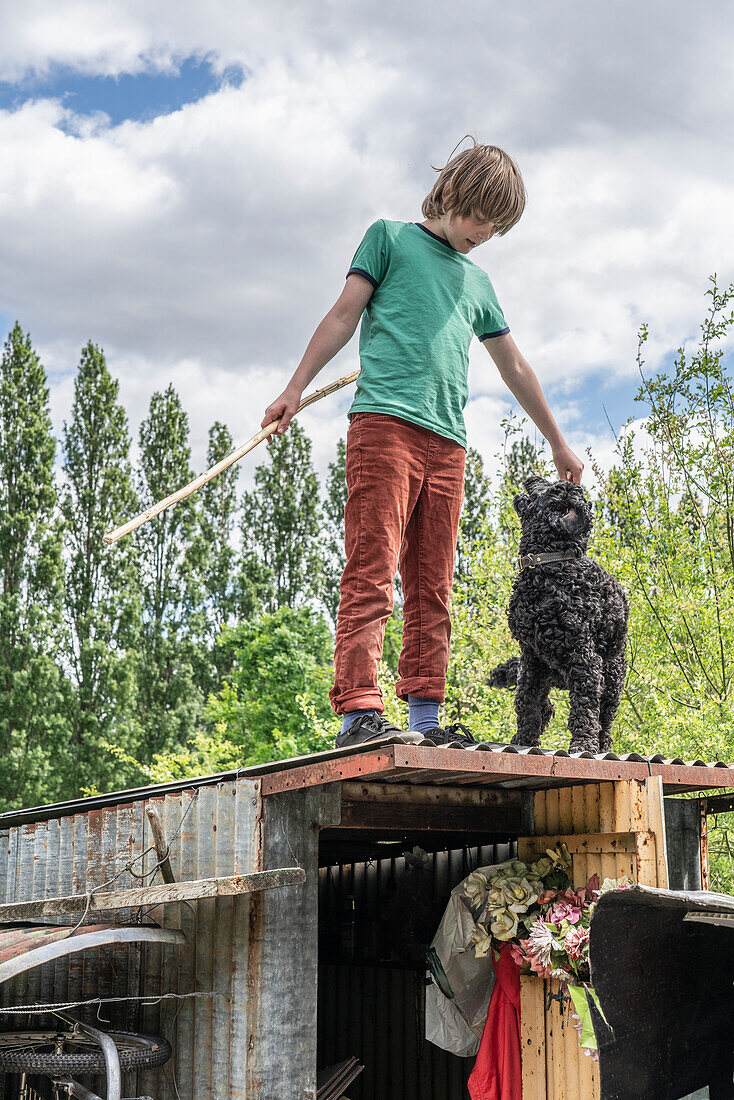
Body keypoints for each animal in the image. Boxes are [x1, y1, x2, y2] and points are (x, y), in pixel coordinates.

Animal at [490, 473, 629, 756]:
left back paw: (601, 743)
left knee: (605, 719)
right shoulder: (532, 658)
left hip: (612, 678)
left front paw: (583, 743)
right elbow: (527, 700)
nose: (532, 477)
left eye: (551, 487)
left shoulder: (584, 659)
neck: (551, 563)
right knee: (545, 704)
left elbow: (585, 708)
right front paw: (524, 738)